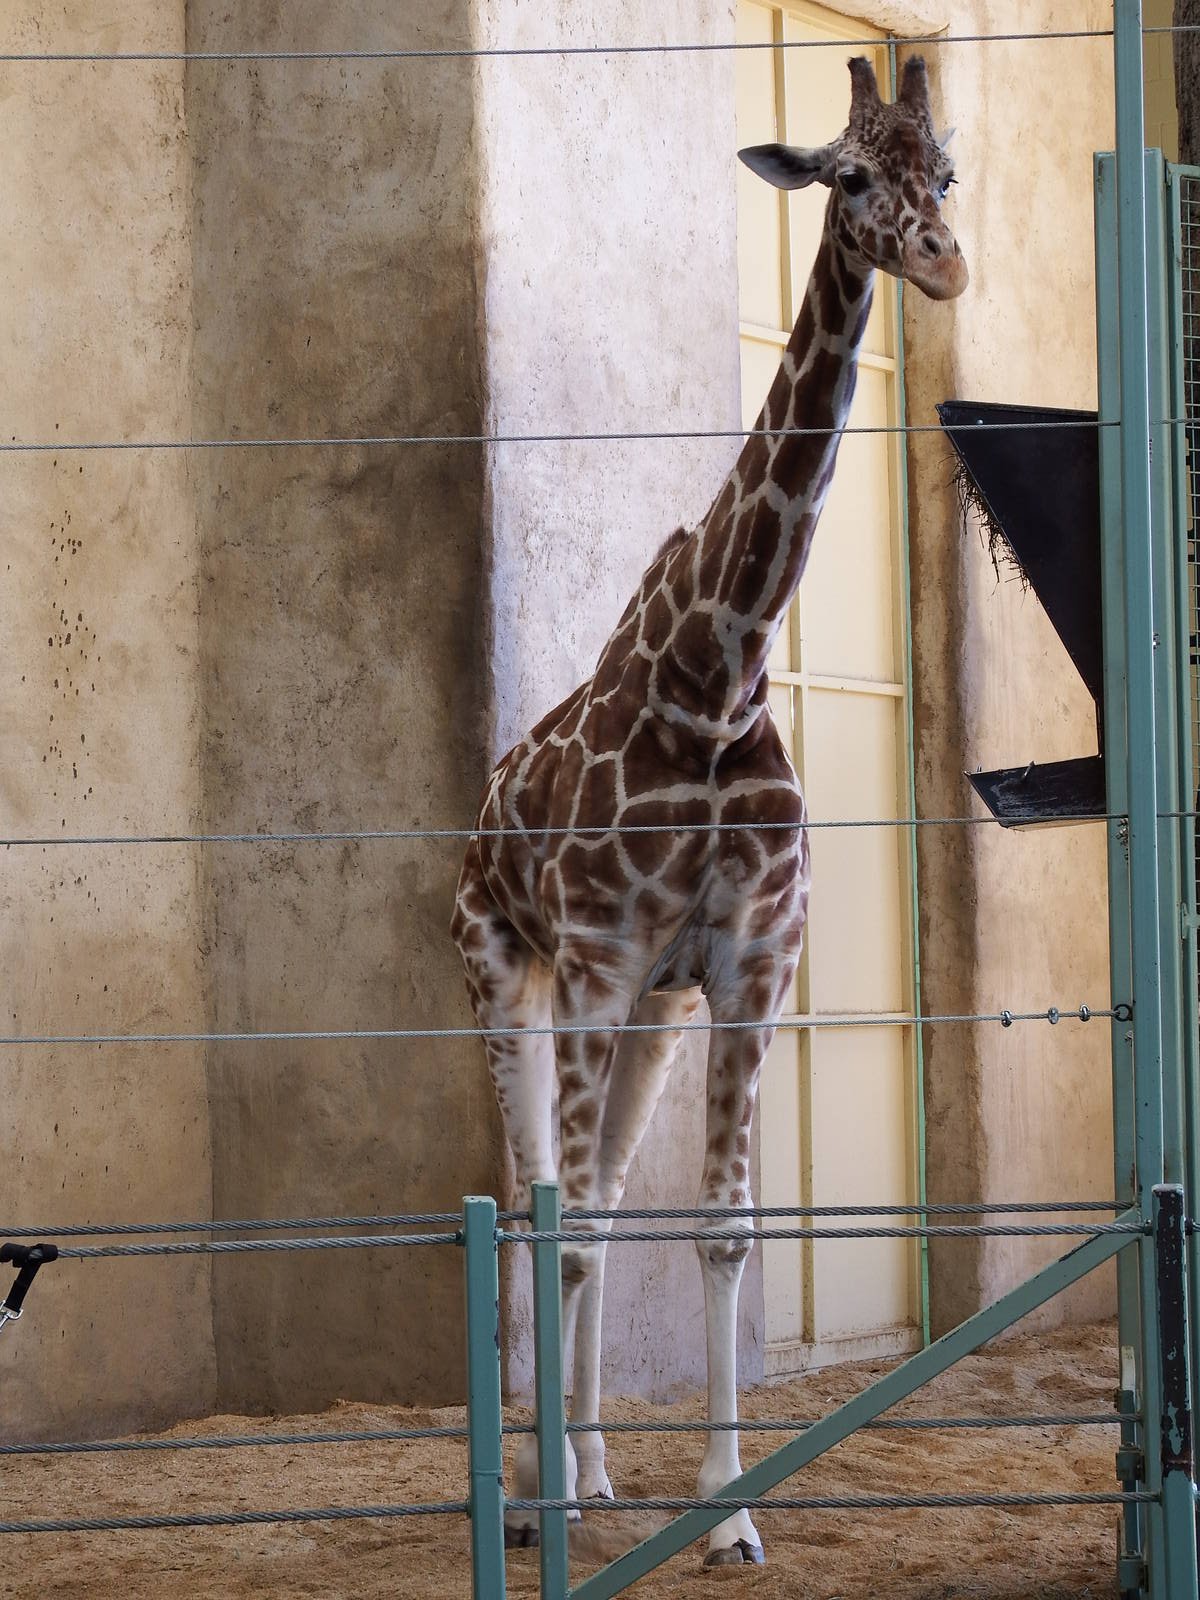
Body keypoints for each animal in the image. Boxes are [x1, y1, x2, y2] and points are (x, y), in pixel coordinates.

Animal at [451, 56, 967, 1566]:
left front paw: (727, 1515)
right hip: (509, 977)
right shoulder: (601, 957)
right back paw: (535, 1491)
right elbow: (560, 1226)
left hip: (650, 1020)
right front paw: (560, 1503)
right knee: (536, 1208)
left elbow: (722, 1233)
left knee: (603, 1200)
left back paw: (596, 1467)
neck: (716, 669)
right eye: (847, 176)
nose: (945, 262)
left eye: (946, 171)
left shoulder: (745, 968)